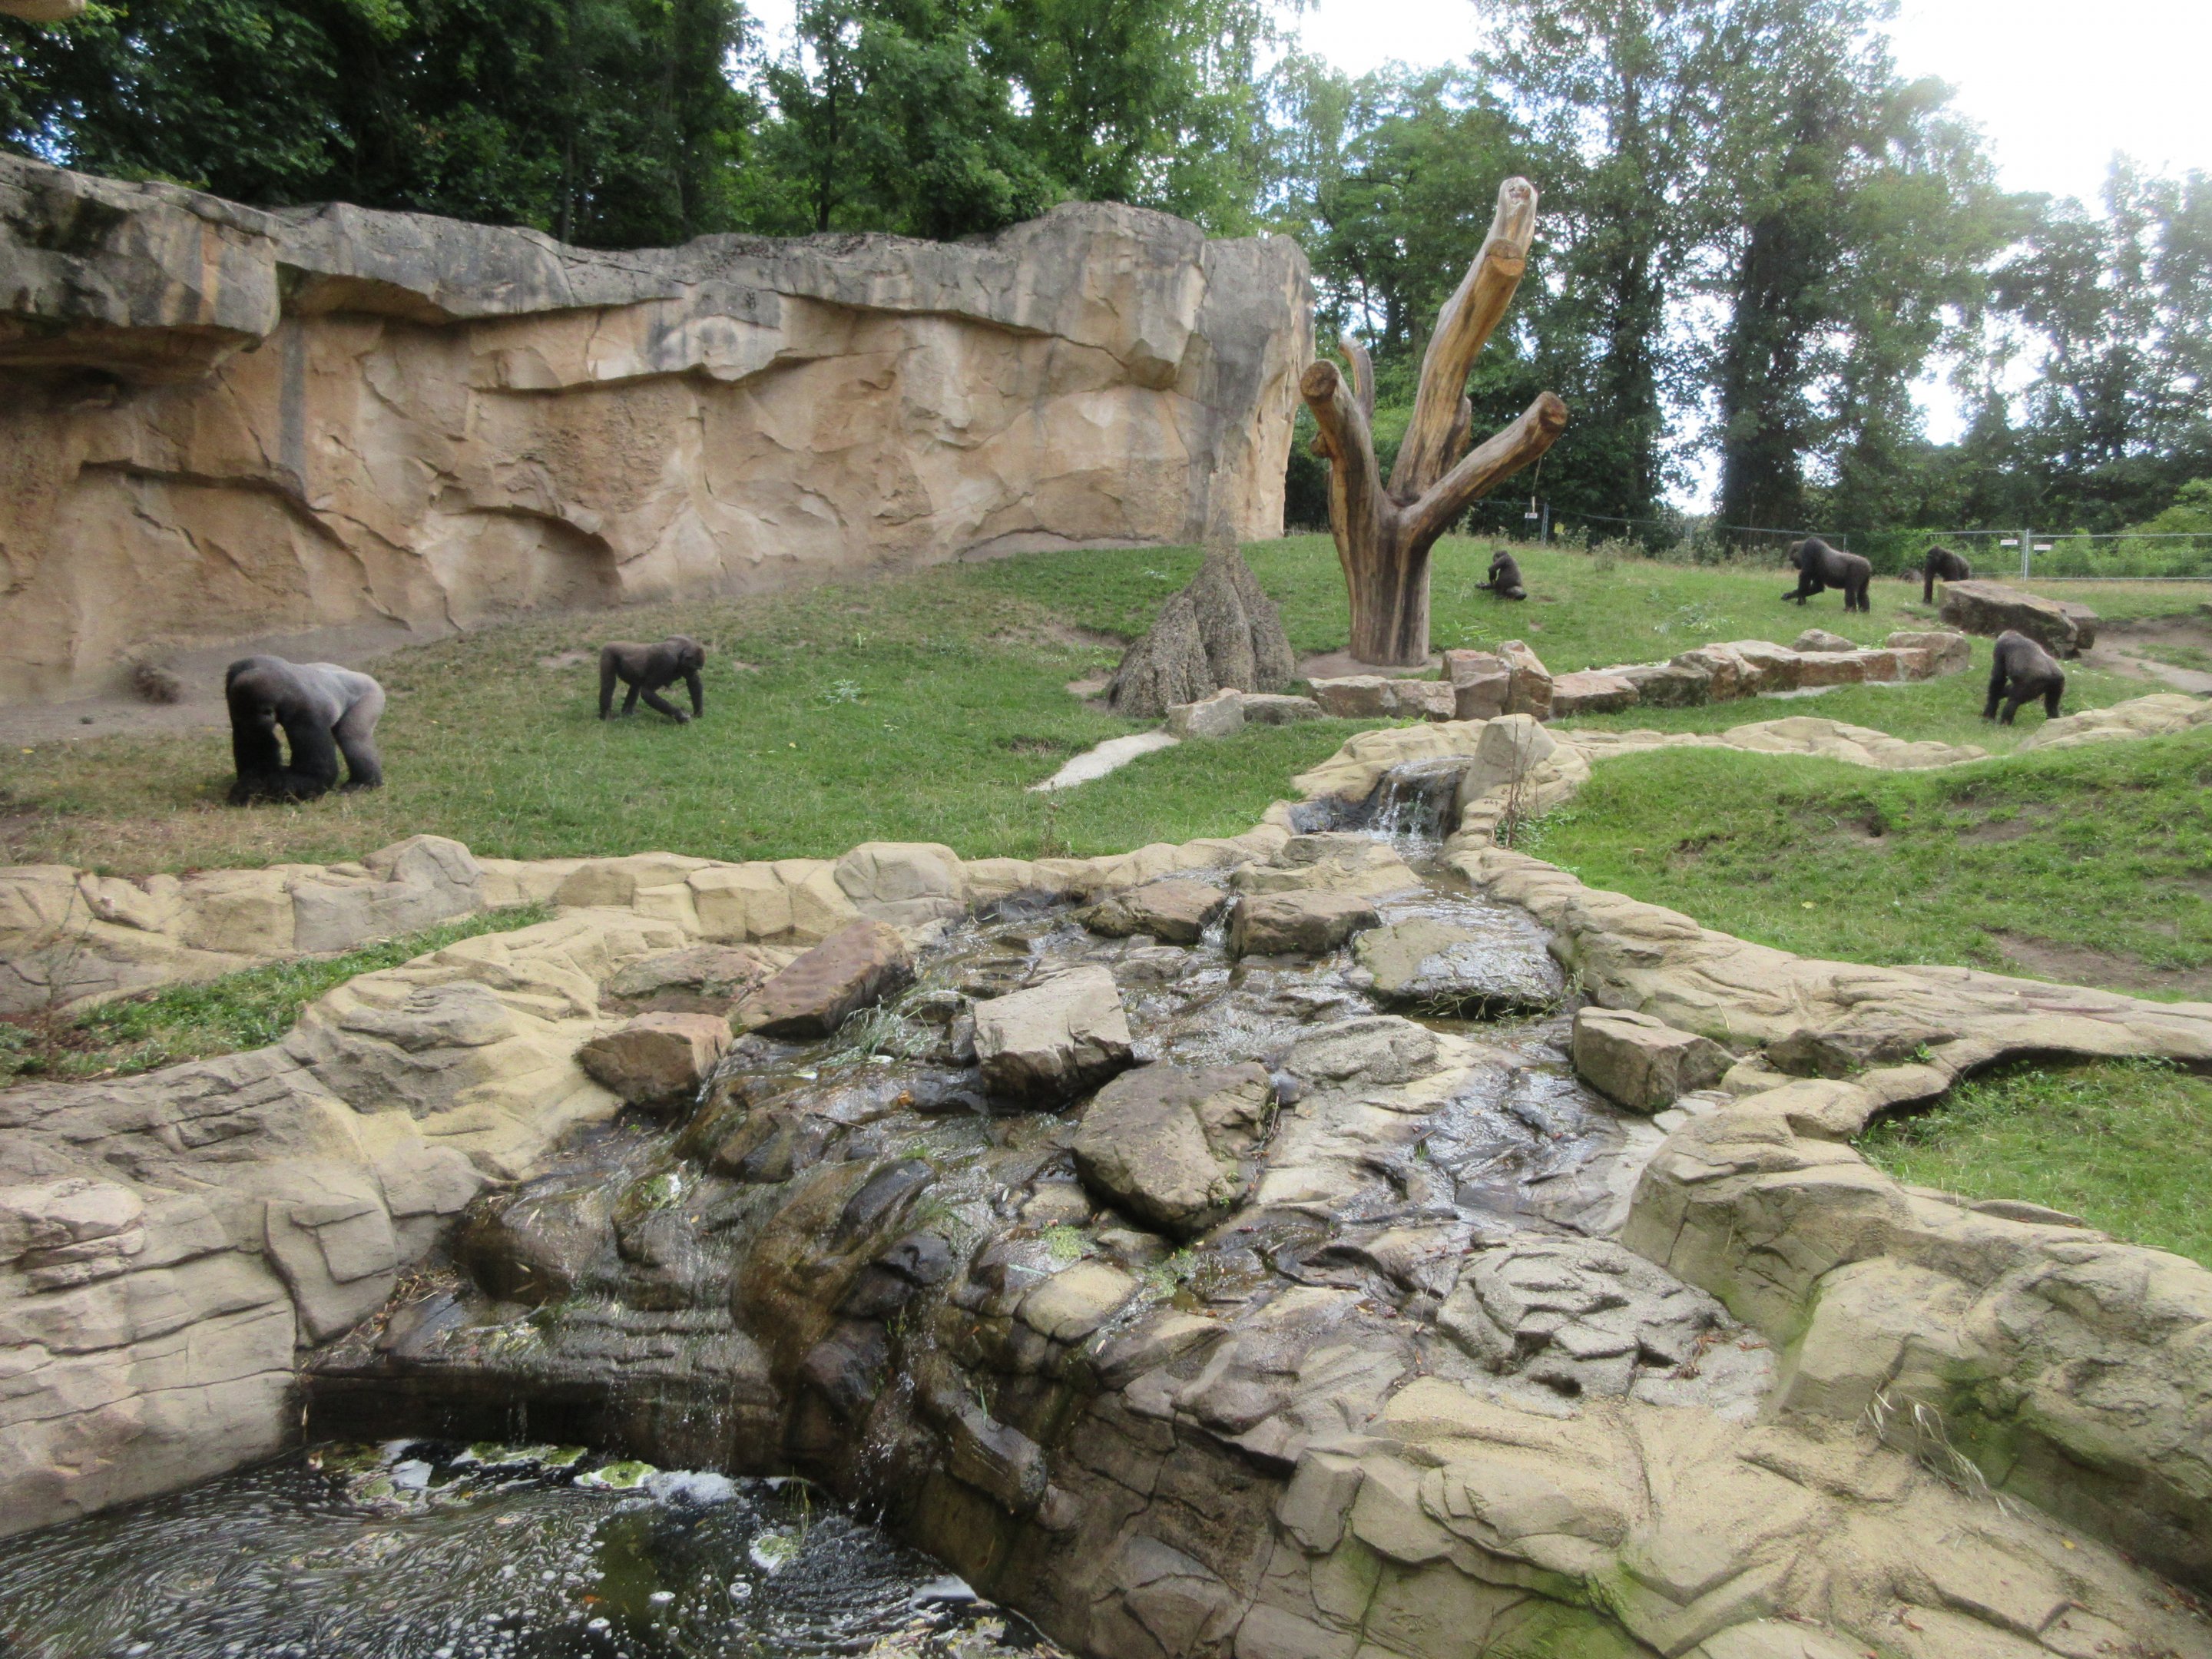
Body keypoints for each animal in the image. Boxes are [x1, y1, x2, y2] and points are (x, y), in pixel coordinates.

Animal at [225, 656, 385, 804]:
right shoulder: (233, 678)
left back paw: (364, 783)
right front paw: (251, 780)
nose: (247, 732)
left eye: (250, 726)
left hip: (372, 694)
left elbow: (315, 774)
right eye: (239, 722)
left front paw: (255, 788)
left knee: (352, 735)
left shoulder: (305, 710)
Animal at [599, 636, 707, 723]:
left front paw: (698, 713)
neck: (680, 651)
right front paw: (680, 716)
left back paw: (627, 713)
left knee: (636, 685)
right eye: (691, 668)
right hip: (608, 653)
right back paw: (606, 716)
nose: (678, 677)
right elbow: (648, 692)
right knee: (608, 685)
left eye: (696, 669)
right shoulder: (666, 661)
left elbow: (694, 683)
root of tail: (611, 643)